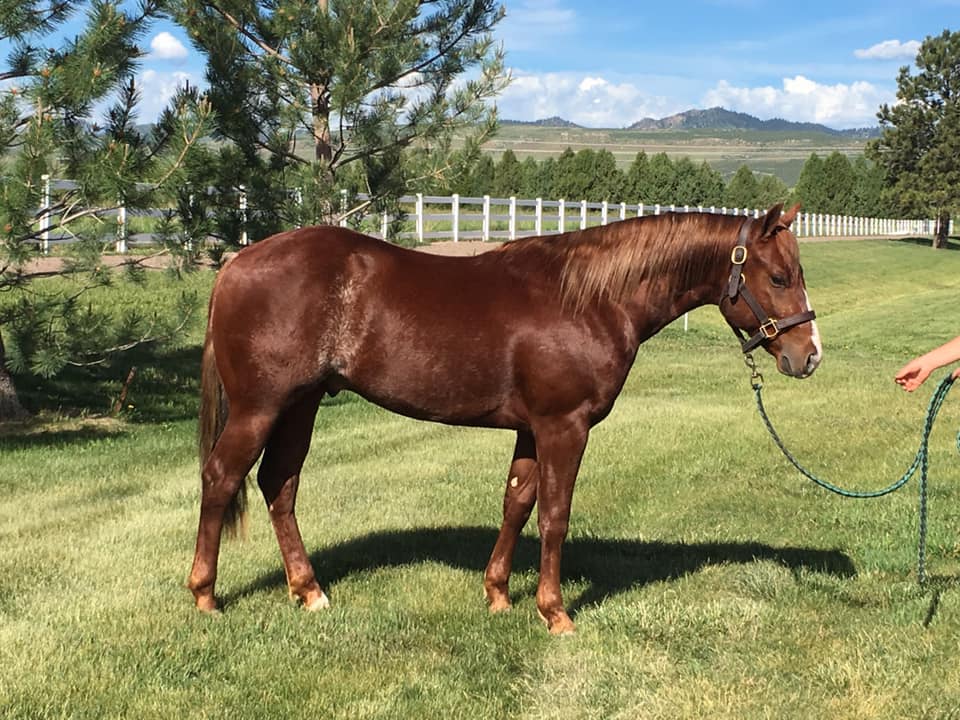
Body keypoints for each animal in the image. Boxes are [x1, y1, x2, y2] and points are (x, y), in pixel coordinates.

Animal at [188, 202, 821, 635]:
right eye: (780, 277)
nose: (809, 355)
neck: (590, 298)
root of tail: (237, 262)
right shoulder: (564, 426)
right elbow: (554, 516)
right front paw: (556, 612)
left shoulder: (531, 429)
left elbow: (516, 503)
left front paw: (497, 594)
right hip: (262, 408)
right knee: (221, 479)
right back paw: (205, 596)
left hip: (301, 405)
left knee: (279, 485)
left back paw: (309, 590)